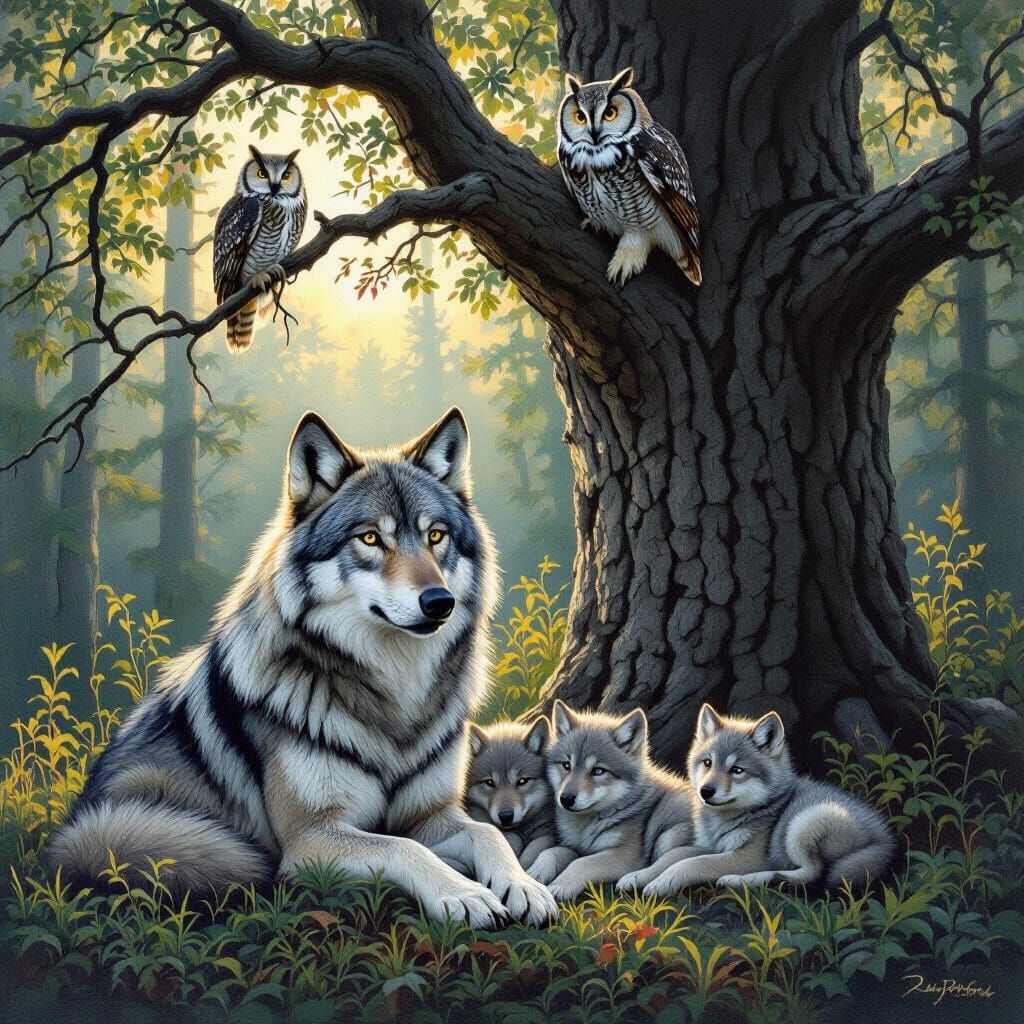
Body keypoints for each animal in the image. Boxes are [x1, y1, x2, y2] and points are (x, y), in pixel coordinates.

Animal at [464, 718, 557, 867]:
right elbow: (512, 839)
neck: (521, 830)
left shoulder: (547, 833)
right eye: (490, 782)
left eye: (522, 781)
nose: (506, 816)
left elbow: (532, 851)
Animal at [527, 701, 693, 901]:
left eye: (598, 771)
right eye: (566, 765)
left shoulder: (624, 855)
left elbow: (581, 863)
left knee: (667, 861)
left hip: (668, 836)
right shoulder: (576, 848)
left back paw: (635, 880)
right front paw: (533, 873)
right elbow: (550, 851)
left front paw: (560, 885)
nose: (566, 798)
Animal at [619, 704, 896, 896]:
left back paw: (739, 880)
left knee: (810, 874)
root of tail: (884, 839)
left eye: (737, 770)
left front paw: (661, 883)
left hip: (805, 822)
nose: (706, 791)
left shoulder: (744, 857)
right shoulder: (710, 846)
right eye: (708, 763)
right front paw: (636, 876)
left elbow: (690, 864)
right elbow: (672, 857)